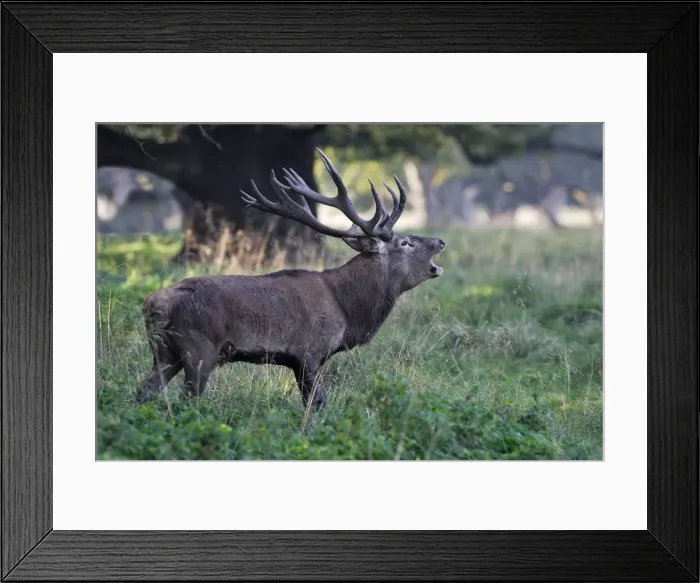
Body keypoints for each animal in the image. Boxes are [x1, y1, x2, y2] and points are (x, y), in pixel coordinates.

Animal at [136, 149, 446, 410]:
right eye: (405, 243)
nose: (440, 241)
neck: (347, 309)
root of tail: (152, 303)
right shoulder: (309, 352)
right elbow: (318, 404)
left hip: (164, 353)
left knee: (144, 391)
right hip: (199, 349)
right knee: (186, 398)